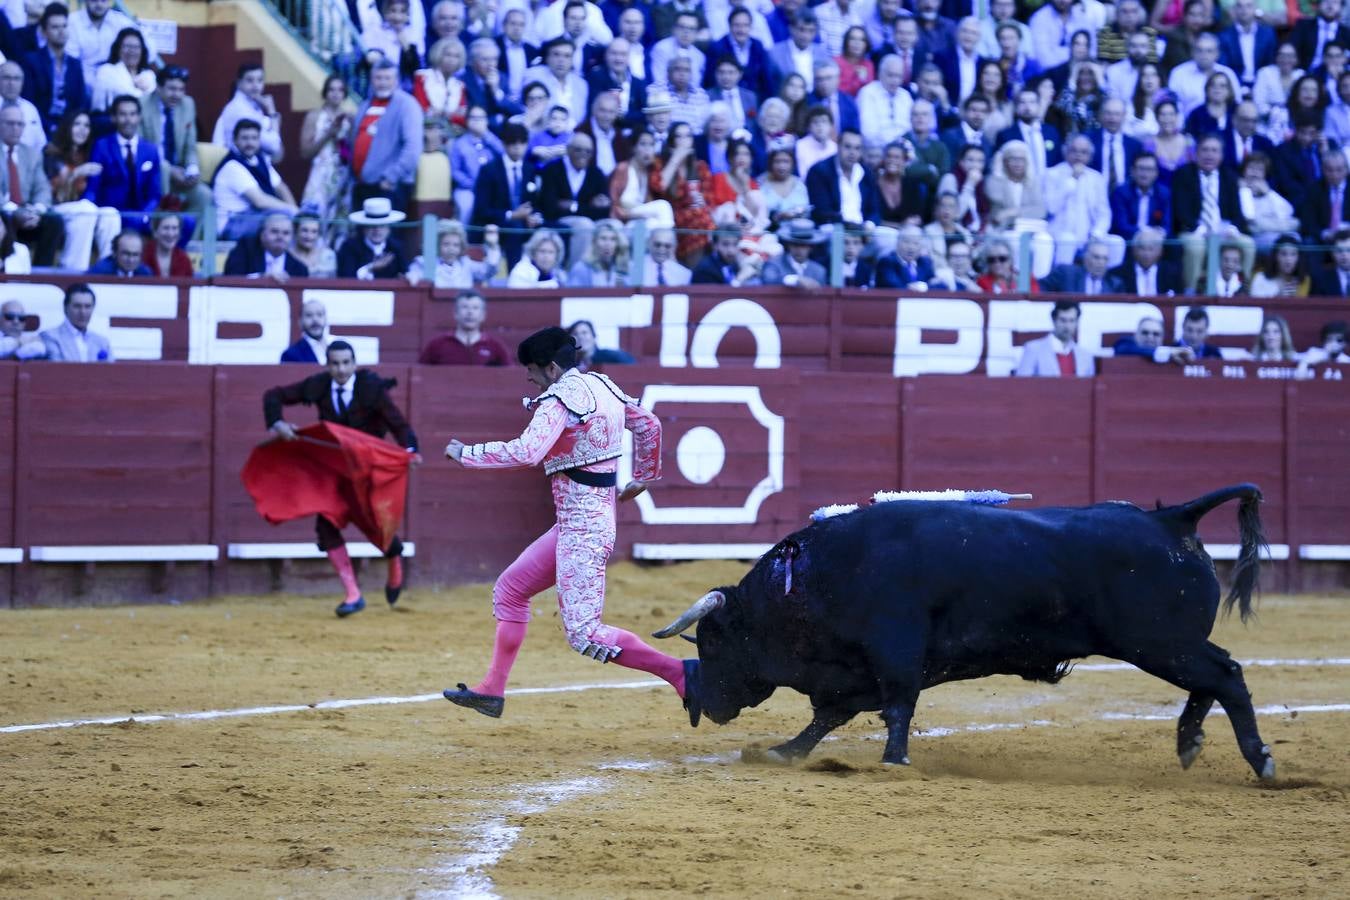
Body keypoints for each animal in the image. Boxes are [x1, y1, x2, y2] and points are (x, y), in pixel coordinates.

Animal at [656, 485, 1274, 782]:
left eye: (712, 641)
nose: (700, 705)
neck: (814, 578)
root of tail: (1170, 519)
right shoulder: (855, 671)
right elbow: (828, 716)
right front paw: (784, 752)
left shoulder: (895, 652)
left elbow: (896, 707)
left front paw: (894, 762)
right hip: (1170, 645)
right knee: (1213, 678)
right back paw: (1190, 744)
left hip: (1158, 642)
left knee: (1226, 675)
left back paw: (1260, 761)